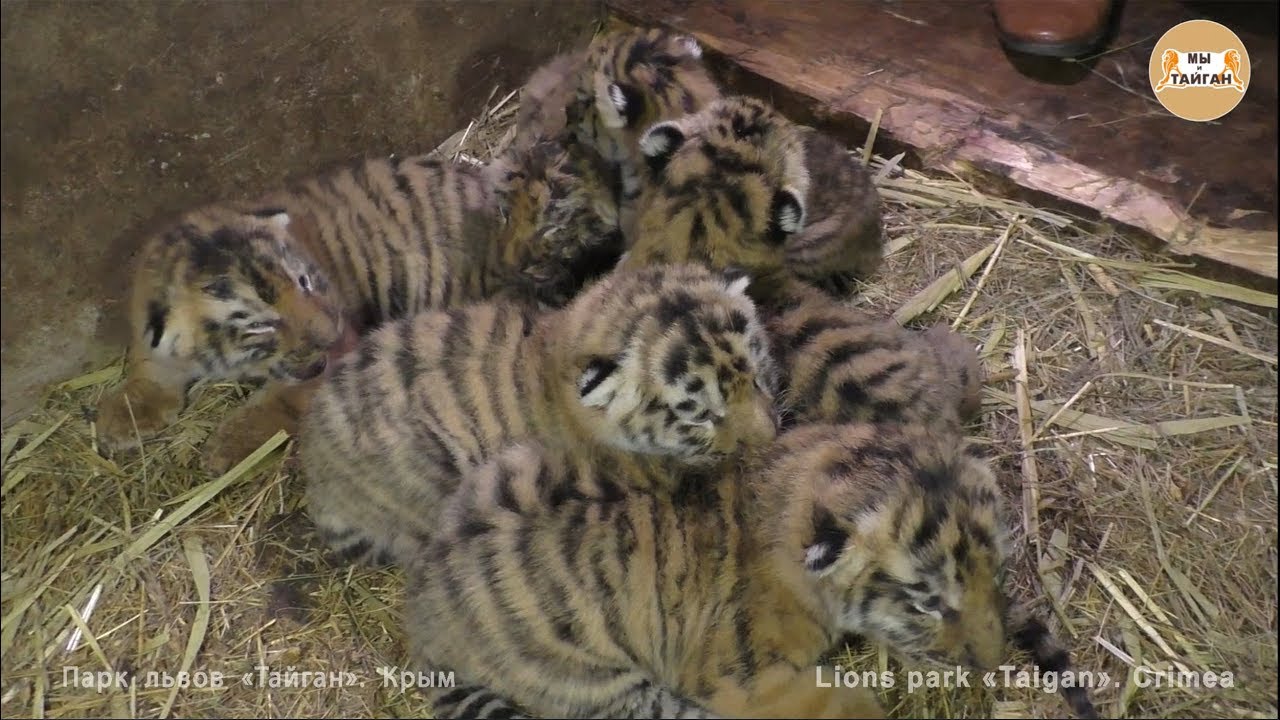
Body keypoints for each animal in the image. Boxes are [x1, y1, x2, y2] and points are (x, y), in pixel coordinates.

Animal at [93, 153, 532, 475]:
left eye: (304, 282)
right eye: (260, 325)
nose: (332, 333)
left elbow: (277, 402)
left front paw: (227, 446)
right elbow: (148, 367)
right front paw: (120, 418)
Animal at [401, 419, 1100, 720]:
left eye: (996, 576)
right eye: (928, 602)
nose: (990, 661)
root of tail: (423, 610)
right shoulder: (740, 678)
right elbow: (832, 700)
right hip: (596, 677)